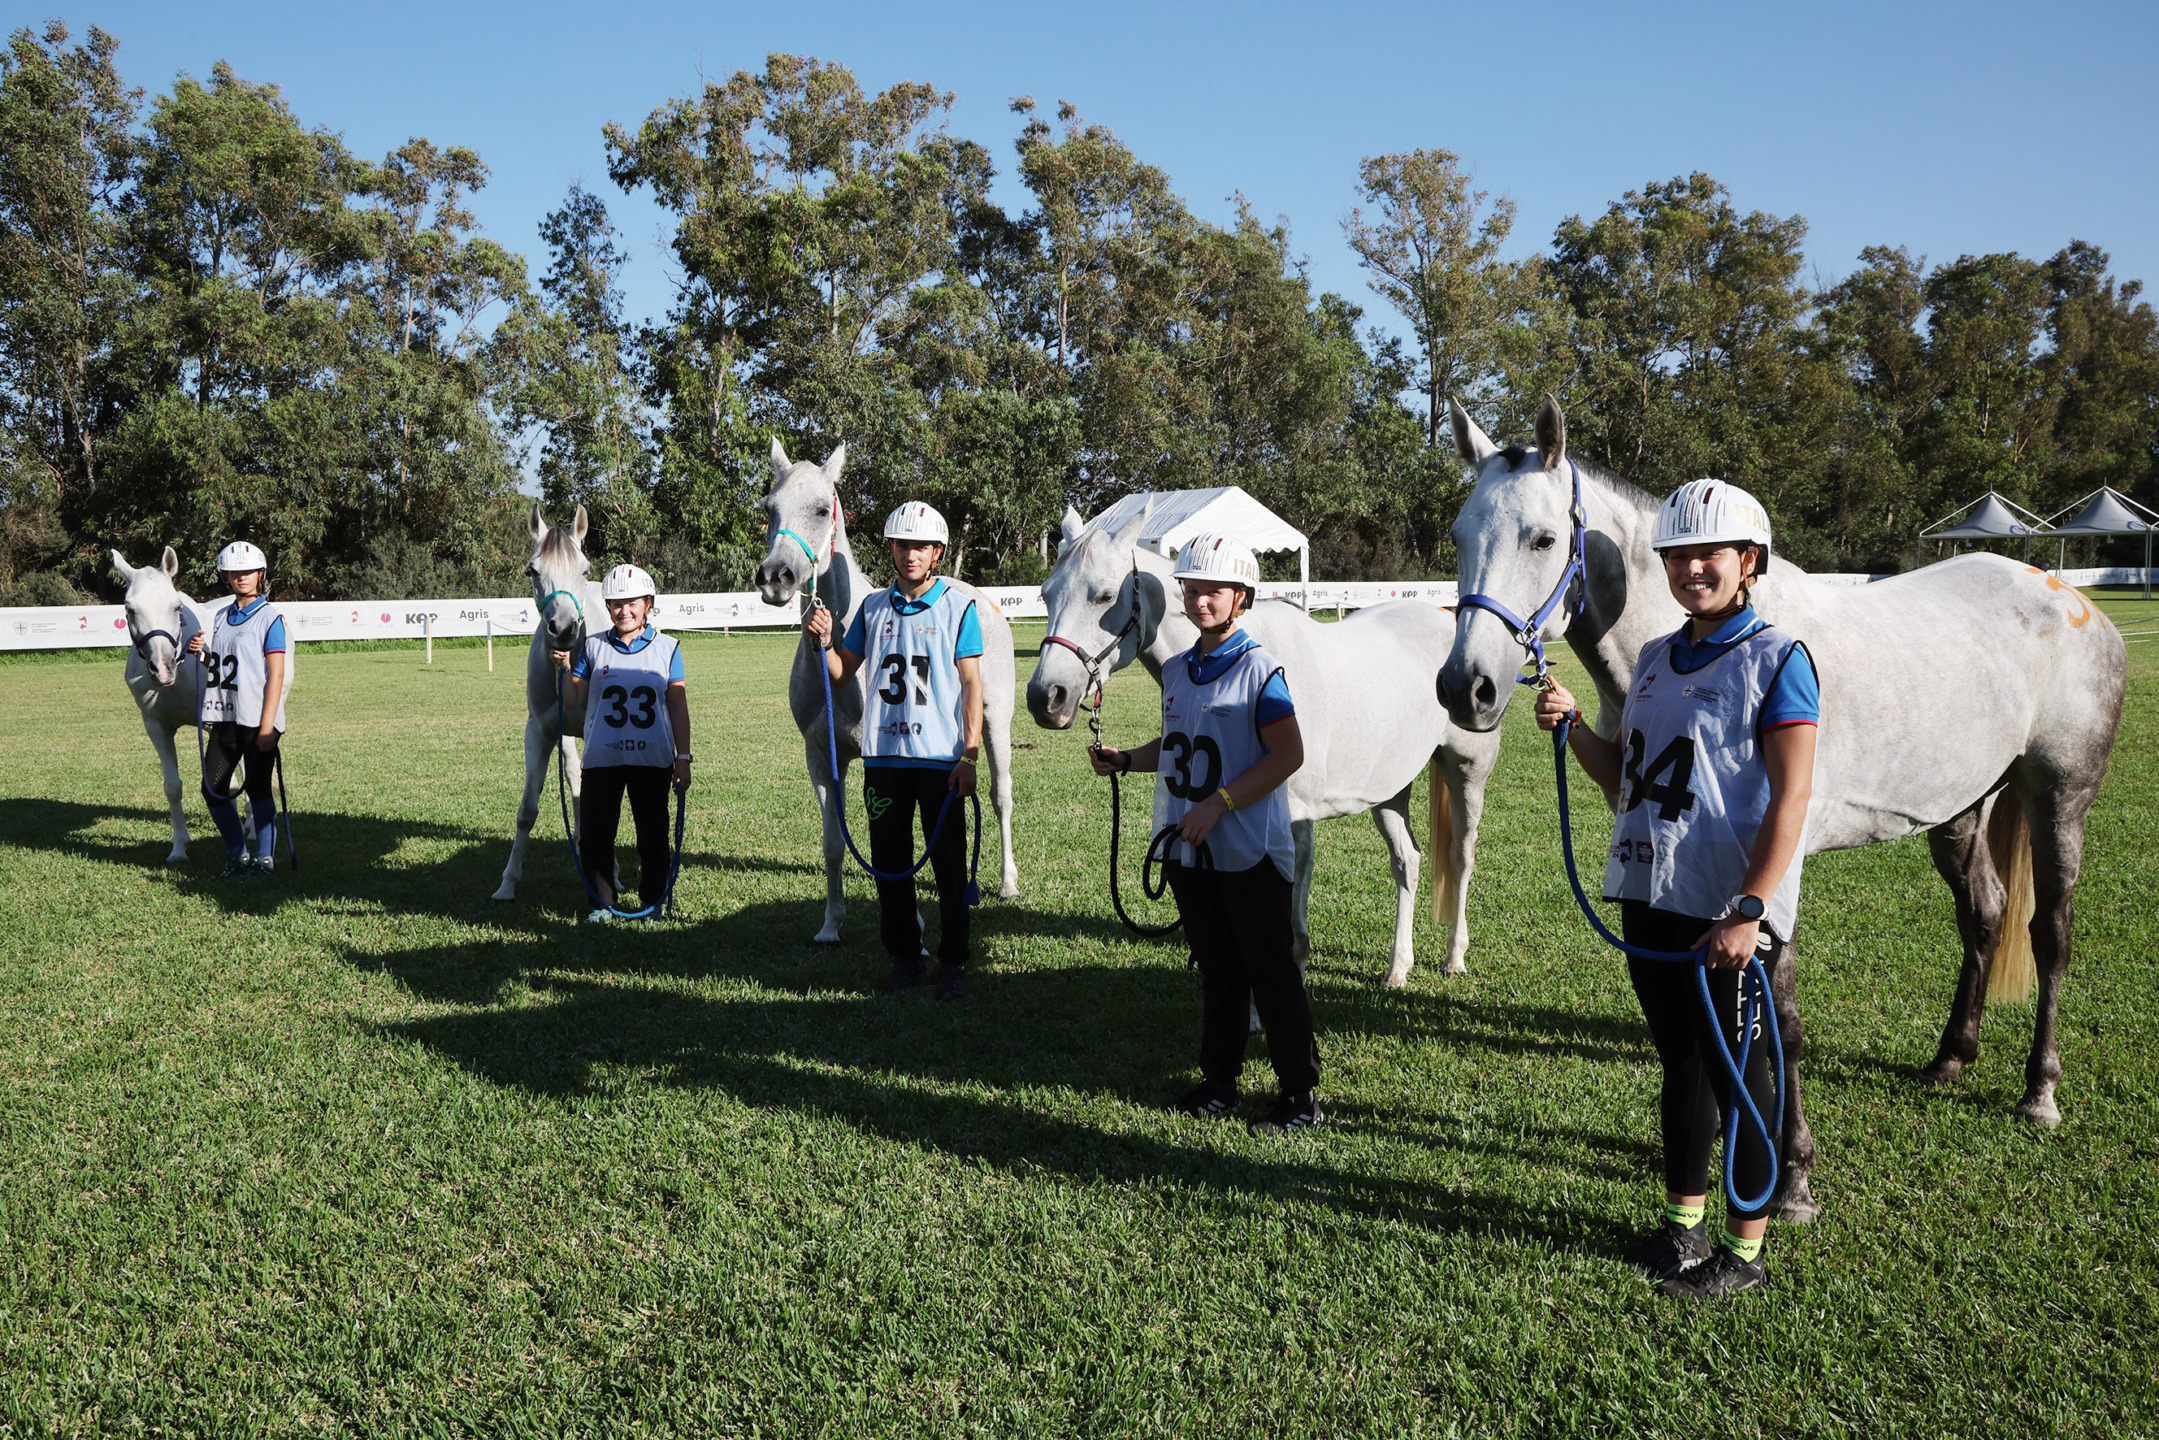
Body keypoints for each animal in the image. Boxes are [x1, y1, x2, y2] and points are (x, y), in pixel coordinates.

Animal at [487, 507, 591, 902]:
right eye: (532, 570)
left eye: (585, 570)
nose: (563, 629)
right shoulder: (539, 732)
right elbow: (527, 810)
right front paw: (507, 883)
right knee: (575, 777)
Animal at [755, 444, 1023, 949]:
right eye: (769, 509)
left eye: (821, 510)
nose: (775, 577)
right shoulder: (822, 756)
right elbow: (834, 843)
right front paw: (831, 923)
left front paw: (912, 926)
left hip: (996, 723)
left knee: (1000, 797)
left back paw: (1007, 883)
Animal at [1027, 500, 1502, 984]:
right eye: (1046, 595)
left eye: (1105, 596)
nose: (1045, 698)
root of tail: (1447, 619)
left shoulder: (1295, 821)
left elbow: (1287, 926)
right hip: (1388, 789)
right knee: (1408, 862)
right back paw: (1398, 967)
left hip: (1467, 772)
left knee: (1461, 857)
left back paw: (1454, 956)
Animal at [1442, 395, 2133, 1217]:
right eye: (1460, 535)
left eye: (1544, 538)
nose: (1465, 688)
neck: (1709, 641)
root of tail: (2067, 596)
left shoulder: (1771, 869)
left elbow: (1782, 1016)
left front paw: (1793, 1172)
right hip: (1961, 811)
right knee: (1985, 916)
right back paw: (1949, 1060)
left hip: (2059, 798)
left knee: (2050, 933)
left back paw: (2039, 1092)